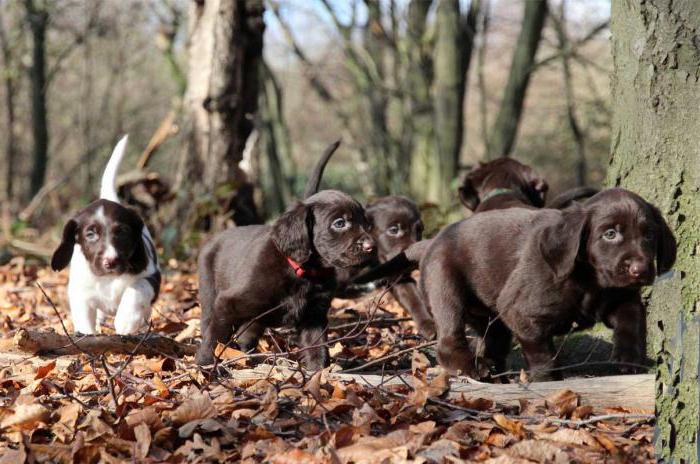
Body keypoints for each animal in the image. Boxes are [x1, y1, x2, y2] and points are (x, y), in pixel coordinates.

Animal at [51, 136, 161, 336]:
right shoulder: (80, 292)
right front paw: (87, 336)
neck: (108, 278)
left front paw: (127, 320)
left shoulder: (152, 277)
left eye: (123, 232)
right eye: (90, 234)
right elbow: (84, 318)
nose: (111, 261)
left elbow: (137, 288)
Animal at [418, 188, 676, 380]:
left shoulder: (621, 296)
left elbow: (633, 319)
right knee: (448, 339)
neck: (592, 281)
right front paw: (547, 379)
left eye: (649, 235)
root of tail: (435, 238)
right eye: (610, 234)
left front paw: (629, 358)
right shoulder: (519, 311)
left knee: (494, 347)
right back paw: (473, 366)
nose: (639, 270)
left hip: (491, 320)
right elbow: (542, 352)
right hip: (445, 287)